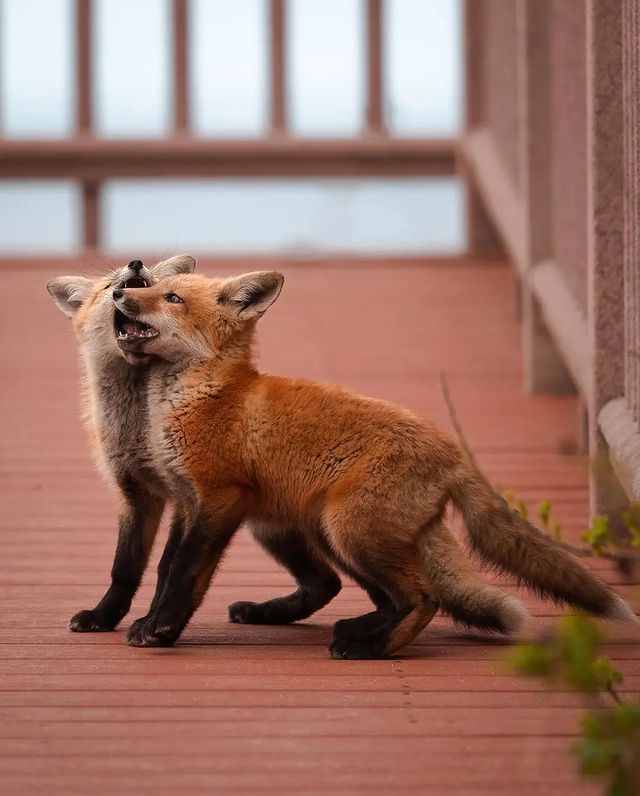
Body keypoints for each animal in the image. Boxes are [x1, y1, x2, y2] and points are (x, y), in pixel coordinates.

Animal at [47, 261, 637, 658]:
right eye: (141, 289)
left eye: (168, 296)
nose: (125, 287)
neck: (197, 397)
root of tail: (452, 451)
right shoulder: (183, 501)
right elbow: (160, 568)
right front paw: (147, 621)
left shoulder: (217, 499)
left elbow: (184, 572)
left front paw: (160, 629)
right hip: (322, 532)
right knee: (365, 593)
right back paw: (341, 627)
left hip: (347, 527)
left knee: (421, 598)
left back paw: (368, 649)